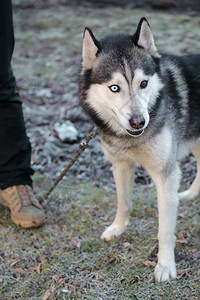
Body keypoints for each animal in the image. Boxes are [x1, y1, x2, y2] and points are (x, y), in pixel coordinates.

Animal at [79, 17, 200, 282]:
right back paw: (188, 195)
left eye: (143, 83)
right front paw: (117, 228)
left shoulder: (165, 174)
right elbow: (124, 202)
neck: (131, 138)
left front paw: (165, 266)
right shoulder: (121, 164)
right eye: (114, 88)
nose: (138, 122)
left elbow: (165, 230)